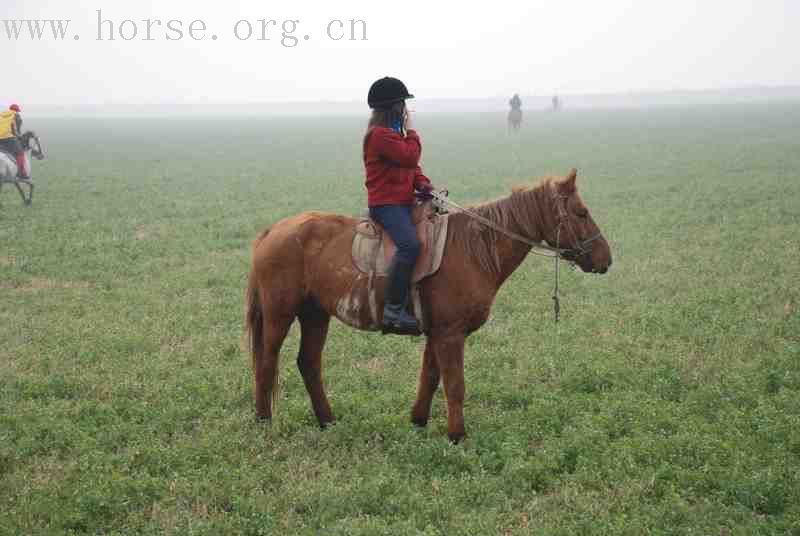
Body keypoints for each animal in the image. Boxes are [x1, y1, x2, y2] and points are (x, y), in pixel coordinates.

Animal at [245, 170, 612, 442]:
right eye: (581, 212)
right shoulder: (450, 334)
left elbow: (431, 377)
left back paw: (327, 421)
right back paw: (263, 421)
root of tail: (271, 232)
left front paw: (418, 420)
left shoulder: (438, 333)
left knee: (308, 363)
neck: (474, 248)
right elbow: (454, 385)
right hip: (280, 314)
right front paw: (457, 436)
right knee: (266, 362)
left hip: (315, 315)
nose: (605, 259)